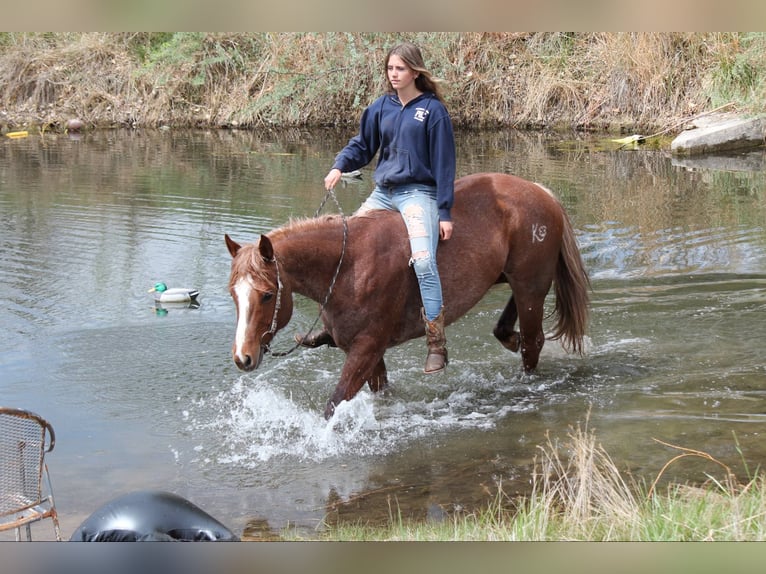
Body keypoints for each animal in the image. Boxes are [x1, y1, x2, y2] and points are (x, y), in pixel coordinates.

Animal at [225, 172, 590, 419]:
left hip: (532, 286)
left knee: (533, 343)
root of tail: (541, 193)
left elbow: (333, 405)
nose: (243, 357)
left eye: (267, 295)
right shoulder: (370, 355)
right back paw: (509, 339)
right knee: (510, 329)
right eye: (233, 295)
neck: (347, 268)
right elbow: (381, 393)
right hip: (516, 281)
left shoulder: (366, 349)